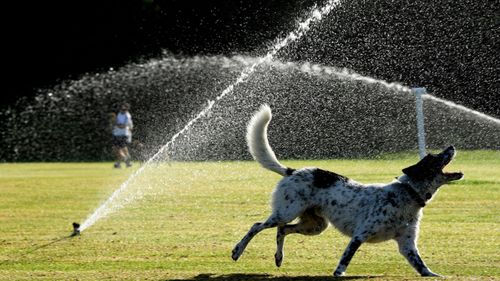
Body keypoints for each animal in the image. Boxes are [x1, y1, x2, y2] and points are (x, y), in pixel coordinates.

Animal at [232, 104, 462, 276]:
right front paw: (339, 274)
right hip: (286, 212)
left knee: (283, 230)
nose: (452, 146)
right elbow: (345, 259)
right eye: (433, 158)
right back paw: (237, 251)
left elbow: (422, 266)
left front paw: (435, 275)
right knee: (257, 226)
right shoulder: (359, 235)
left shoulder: (407, 245)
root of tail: (292, 171)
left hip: (315, 225)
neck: (407, 193)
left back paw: (279, 258)